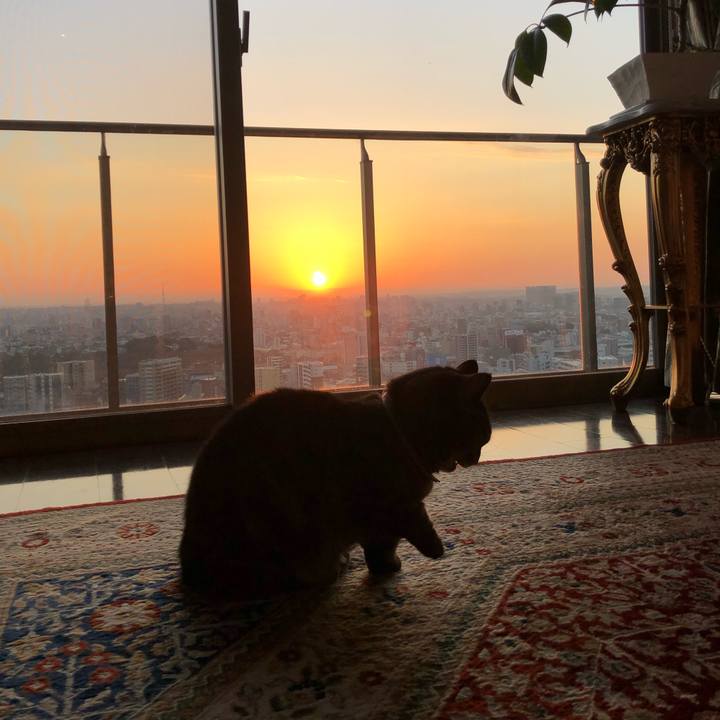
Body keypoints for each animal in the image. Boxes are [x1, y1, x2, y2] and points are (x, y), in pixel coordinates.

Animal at [179, 359, 492, 597]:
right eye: (482, 437)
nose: (477, 458)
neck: (399, 430)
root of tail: (188, 563)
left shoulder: (379, 519)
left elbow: (382, 545)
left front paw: (386, 567)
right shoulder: (384, 504)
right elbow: (413, 525)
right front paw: (432, 549)